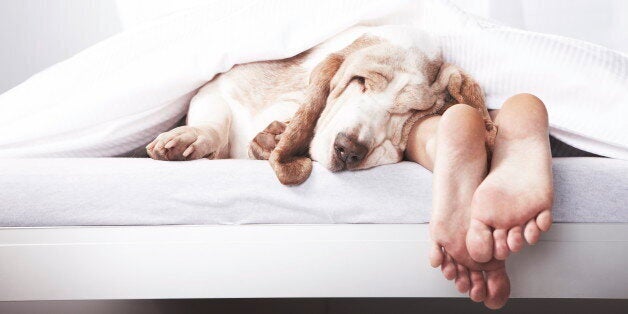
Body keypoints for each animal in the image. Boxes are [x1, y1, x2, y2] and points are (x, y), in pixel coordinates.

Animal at [147, 27, 496, 185]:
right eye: (359, 81)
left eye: (411, 112)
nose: (349, 149)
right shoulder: (218, 86)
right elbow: (216, 119)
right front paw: (188, 139)